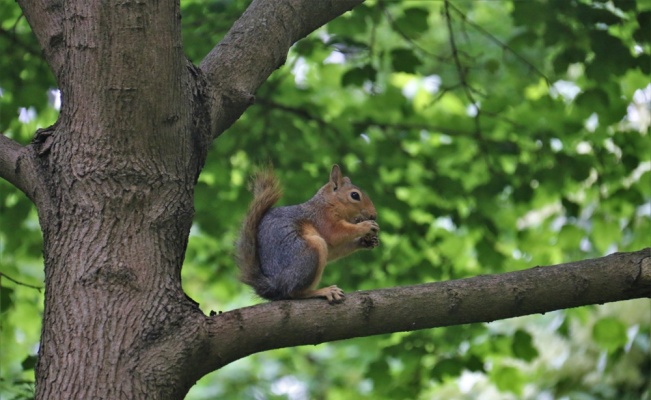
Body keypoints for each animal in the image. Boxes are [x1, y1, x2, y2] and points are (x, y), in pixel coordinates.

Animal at [238, 164, 382, 302]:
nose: (373, 215)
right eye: (355, 195)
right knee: (293, 292)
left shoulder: (330, 244)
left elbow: (335, 250)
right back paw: (323, 291)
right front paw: (366, 226)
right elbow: (336, 234)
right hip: (310, 252)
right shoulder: (323, 220)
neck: (329, 204)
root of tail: (275, 285)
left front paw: (366, 241)